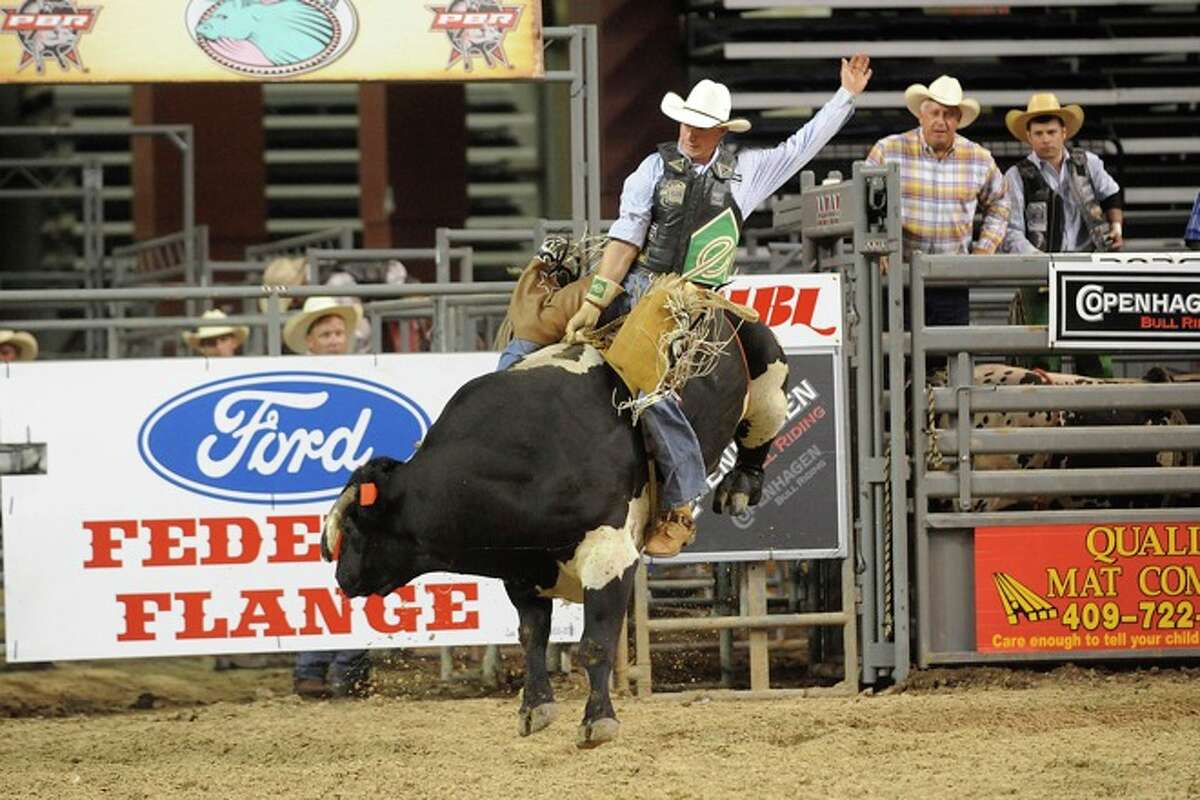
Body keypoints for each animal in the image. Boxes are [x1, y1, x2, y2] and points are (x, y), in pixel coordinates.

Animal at [320, 315, 789, 748]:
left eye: (355, 527)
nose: (344, 578)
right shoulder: (524, 568)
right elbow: (532, 636)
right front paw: (535, 708)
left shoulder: (610, 557)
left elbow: (595, 643)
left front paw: (598, 721)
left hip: (766, 368)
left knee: (763, 421)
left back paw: (739, 487)